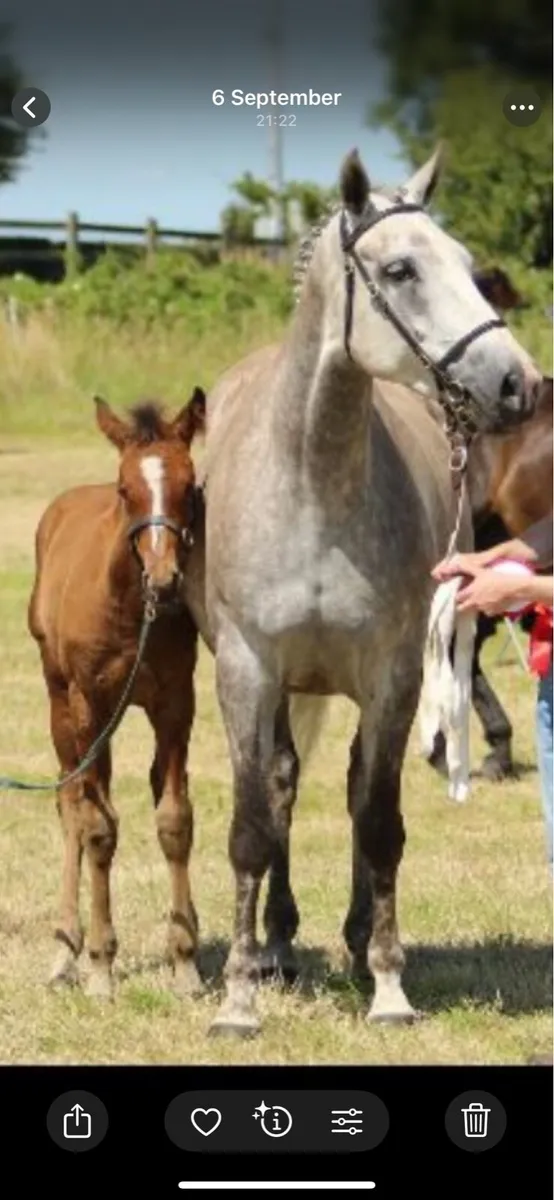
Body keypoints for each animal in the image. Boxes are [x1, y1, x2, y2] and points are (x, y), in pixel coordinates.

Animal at [28, 388, 206, 1000]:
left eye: (190, 486)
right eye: (126, 490)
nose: (166, 580)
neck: (134, 612)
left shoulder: (176, 703)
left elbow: (174, 819)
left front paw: (185, 962)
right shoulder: (89, 705)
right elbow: (98, 828)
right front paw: (102, 967)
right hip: (61, 703)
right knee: (70, 802)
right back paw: (65, 949)